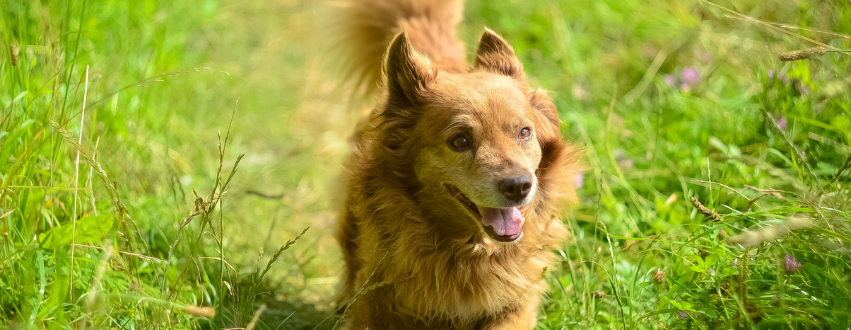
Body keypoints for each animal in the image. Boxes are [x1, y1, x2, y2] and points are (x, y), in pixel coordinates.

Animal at [332, 0, 580, 328]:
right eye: (460, 141)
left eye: (524, 132)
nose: (518, 186)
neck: (468, 253)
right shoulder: (375, 298)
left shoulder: (516, 302)